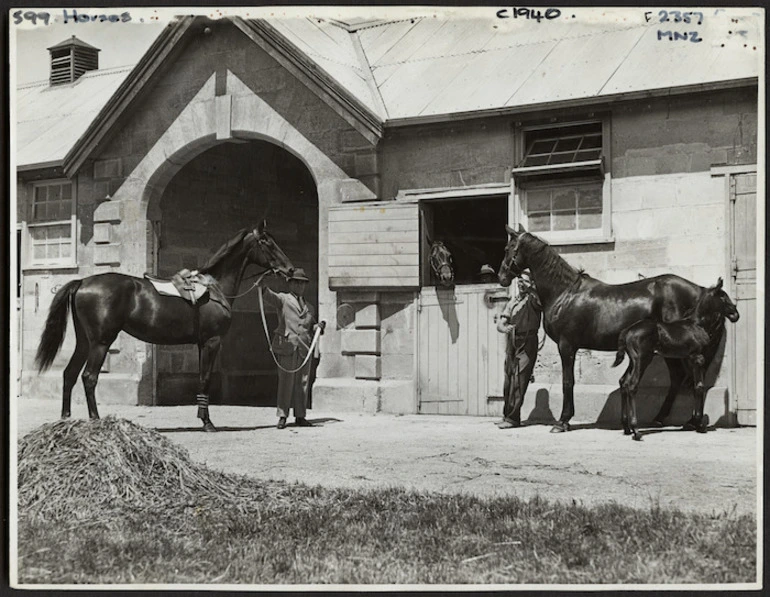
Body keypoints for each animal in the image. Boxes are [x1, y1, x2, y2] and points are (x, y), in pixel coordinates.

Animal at [35, 221, 294, 430]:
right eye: (266, 242)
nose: (290, 269)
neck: (214, 288)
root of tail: (82, 282)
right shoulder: (212, 342)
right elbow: (205, 380)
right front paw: (207, 422)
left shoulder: (201, 344)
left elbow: (202, 378)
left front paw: (203, 418)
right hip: (100, 342)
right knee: (89, 377)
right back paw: (96, 420)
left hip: (84, 342)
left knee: (69, 374)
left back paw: (66, 420)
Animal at [500, 226, 724, 430]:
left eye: (509, 248)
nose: (502, 277)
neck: (564, 293)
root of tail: (699, 290)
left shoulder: (566, 346)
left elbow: (567, 382)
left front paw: (563, 421)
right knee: (679, 378)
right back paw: (663, 419)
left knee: (693, 379)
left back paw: (692, 421)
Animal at [612, 278, 736, 440]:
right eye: (723, 297)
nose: (736, 314)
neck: (697, 324)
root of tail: (627, 331)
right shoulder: (697, 357)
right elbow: (700, 386)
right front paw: (699, 425)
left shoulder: (690, 359)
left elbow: (695, 386)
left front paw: (695, 423)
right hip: (643, 359)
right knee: (632, 385)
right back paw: (636, 430)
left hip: (633, 361)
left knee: (624, 382)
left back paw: (627, 428)